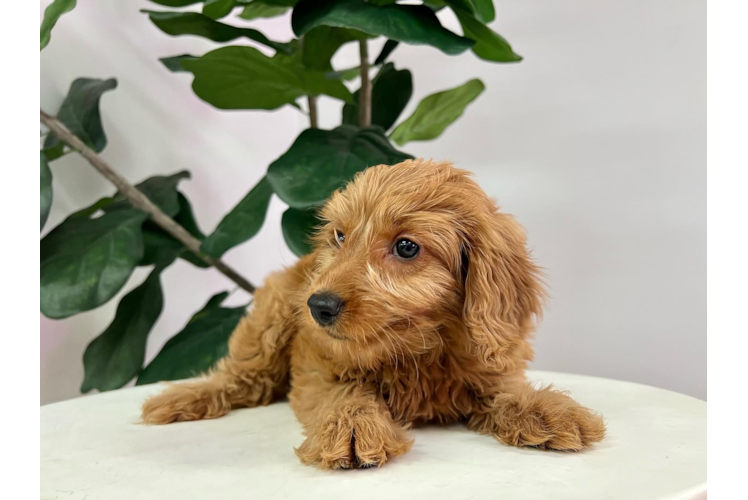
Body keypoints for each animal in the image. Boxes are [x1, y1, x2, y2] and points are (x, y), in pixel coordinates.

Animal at [142, 159, 608, 468]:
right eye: (340, 236)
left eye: (406, 246)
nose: (318, 306)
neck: (418, 350)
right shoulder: (319, 365)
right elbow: (346, 390)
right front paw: (352, 426)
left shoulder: (488, 361)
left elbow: (505, 389)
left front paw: (545, 408)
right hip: (269, 318)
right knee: (242, 377)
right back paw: (183, 398)